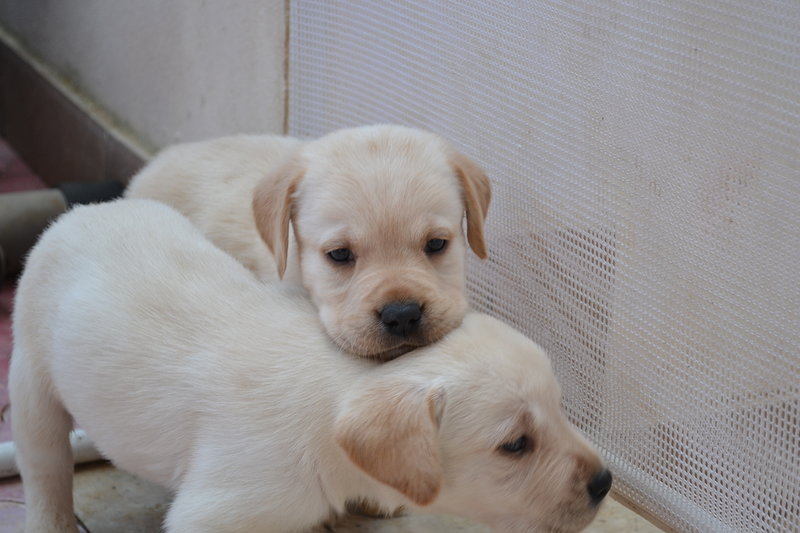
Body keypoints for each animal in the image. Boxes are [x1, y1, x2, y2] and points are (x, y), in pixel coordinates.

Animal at [10, 200, 612, 532]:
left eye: (561, 409)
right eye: (516, 445)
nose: (605, 482)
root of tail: (83, 212)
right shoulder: (215, 515)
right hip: (32, 380)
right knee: (45, 470)